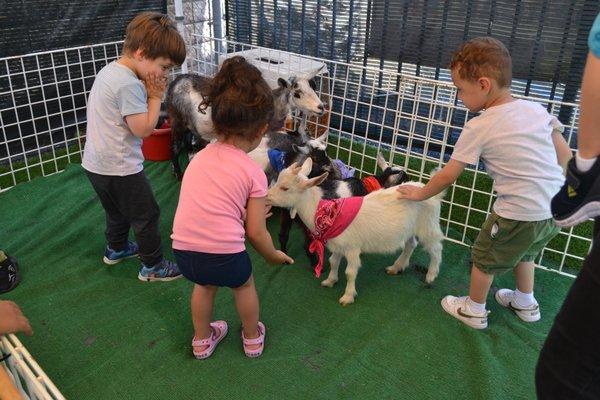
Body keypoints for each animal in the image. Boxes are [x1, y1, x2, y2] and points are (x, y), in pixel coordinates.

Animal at [268, 159, 446, 306]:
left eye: (285, 188)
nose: (267, 196)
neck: (324, 210)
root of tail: (432, 193)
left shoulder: (352, 248)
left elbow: (350, 272)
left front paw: (347, 296)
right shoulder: (338, 244)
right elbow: (333, 262)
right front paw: (330, 281)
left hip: (428, 225)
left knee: (436, 249)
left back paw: (430, 276)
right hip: (410, 228)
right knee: (411, 244)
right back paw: (397, 267)